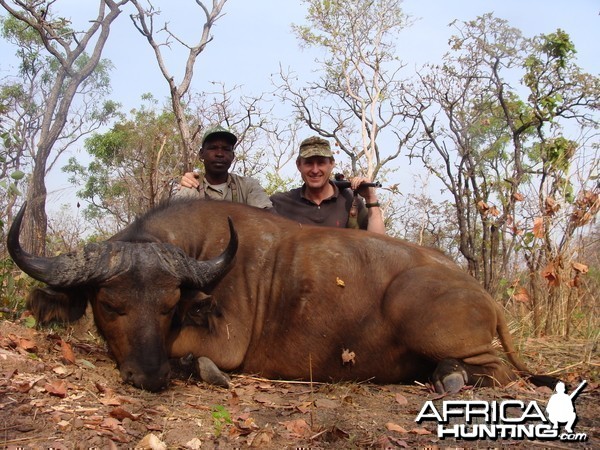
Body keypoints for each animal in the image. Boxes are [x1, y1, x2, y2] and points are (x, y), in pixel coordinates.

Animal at [7, 200, 552, 394]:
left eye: (167, 307)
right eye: (110, 305)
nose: (151, 376)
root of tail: (484, 295)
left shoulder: (221, 342)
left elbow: (197, 356)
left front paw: (199, 370)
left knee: (495, 372)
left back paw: (452, 378)